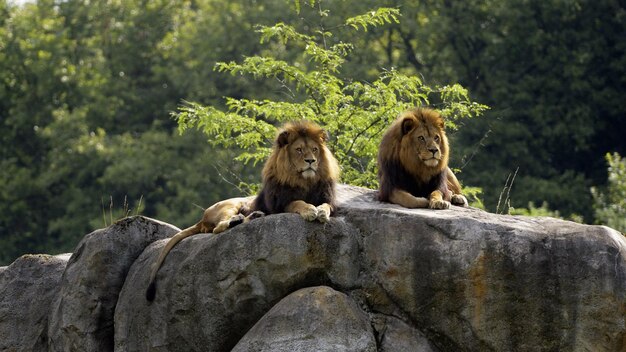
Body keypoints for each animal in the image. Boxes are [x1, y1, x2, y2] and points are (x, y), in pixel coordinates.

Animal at [146, 119, 338, 302]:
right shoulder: (280, 204)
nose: (311, 161)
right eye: (298, 150)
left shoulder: (326, 198)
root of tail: (203, 217)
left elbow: (326, 206)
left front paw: (321, 212)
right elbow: (298, 202)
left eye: (314, 149)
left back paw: (253, 216)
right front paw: (310, 210)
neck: (304, 181)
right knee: (218, 228)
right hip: (230, 205)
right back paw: (240, 219)